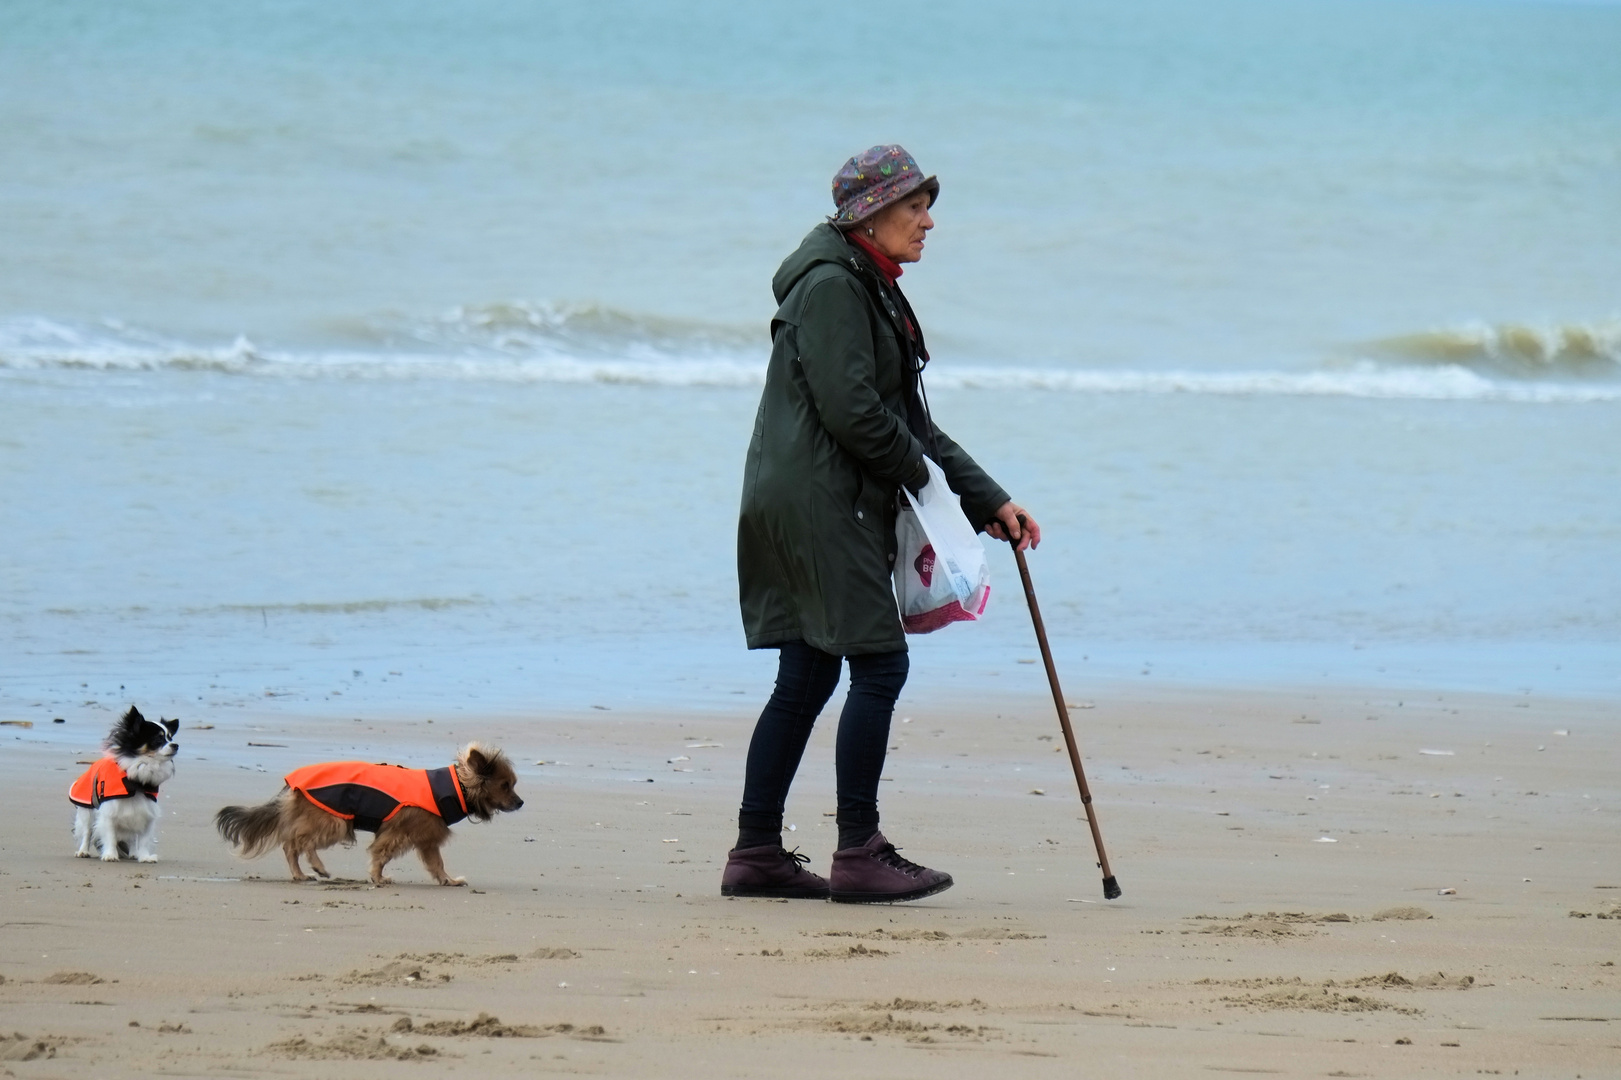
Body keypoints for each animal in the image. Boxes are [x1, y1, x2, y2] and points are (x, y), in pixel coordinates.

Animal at [70, 707, 179, 856]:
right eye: (158, 739)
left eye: (170, 738)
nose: (176, 745)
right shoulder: (109, 811)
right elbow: (109, 835)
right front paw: (110, 855)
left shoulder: (146, 810)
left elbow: (143, 838)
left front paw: (144, 856)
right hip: (87, 811)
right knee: (87, 831)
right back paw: (83, 851)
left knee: (132, 837)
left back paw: (133, 853)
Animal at [213, 739, 518, 882]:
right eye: (505, 786)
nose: (521, 802)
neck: (454, 788)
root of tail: (293, 785)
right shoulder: (399, 833)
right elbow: (381, 855)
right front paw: (378, 877)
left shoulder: (426, 840)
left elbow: (436, 864)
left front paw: (448, 881)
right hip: (335, 821)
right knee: (300, 842)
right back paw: (315, 867)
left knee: (292, 844)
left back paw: (301, 874)